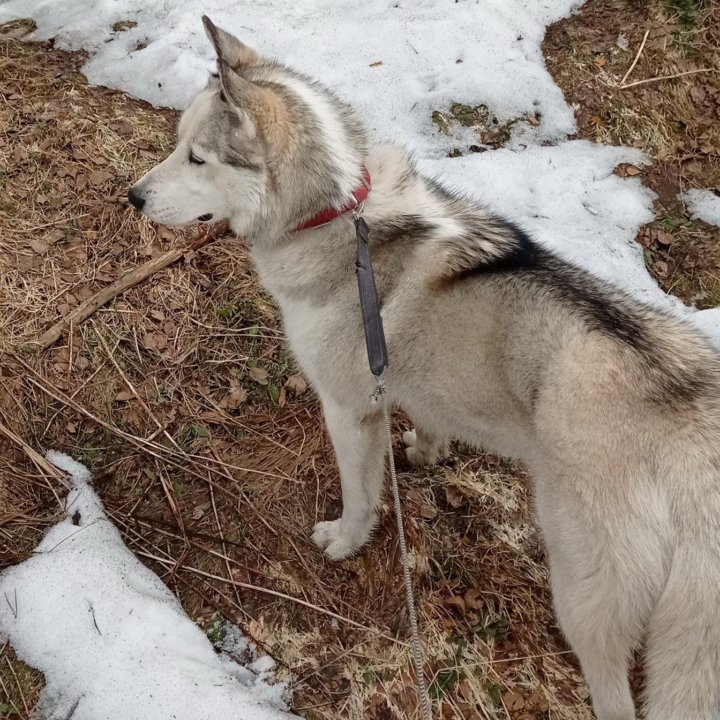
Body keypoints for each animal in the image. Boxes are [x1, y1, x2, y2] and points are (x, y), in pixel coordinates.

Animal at [129, 16, 720, 720]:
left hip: (587, 596)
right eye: (178, 144)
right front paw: (426, 451)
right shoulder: (407, 380)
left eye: (198, 158)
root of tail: (691, 431)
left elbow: (361, 495)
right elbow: (430, 417)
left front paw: (346, 540)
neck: (336, 213)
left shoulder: (347, 410)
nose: (133, 196)